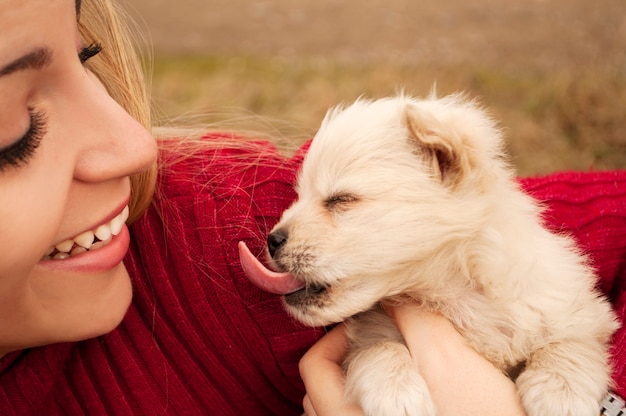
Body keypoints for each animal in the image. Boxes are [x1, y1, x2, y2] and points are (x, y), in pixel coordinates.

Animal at [240, 94, 620, 416]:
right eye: (299, 196)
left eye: (340, 200)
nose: (272, 239)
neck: (451, 294)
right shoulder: (371, 333)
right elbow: (379, 350)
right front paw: (396, 392)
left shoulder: (579, 311)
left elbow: (572, 344)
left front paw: (559, 392)